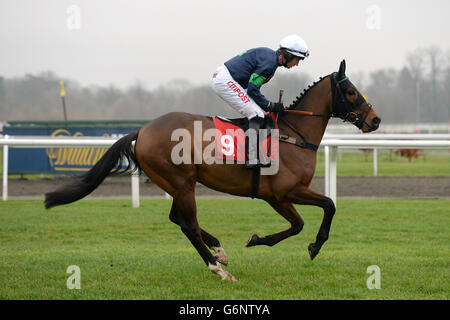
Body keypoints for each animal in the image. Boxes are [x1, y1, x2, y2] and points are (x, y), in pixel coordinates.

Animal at [44, 59, 380, 280]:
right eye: (351, 92)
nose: (375, 120)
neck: (293, 134)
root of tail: (143, 130)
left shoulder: (277, 197)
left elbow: (299, 223)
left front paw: (258, 240)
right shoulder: (284, 193)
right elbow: (327, 206)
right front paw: (313, 245)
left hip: (178, 184)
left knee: (178, 219)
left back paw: (219, 250)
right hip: (182, 182)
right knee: (188, 225)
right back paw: (217, 267)